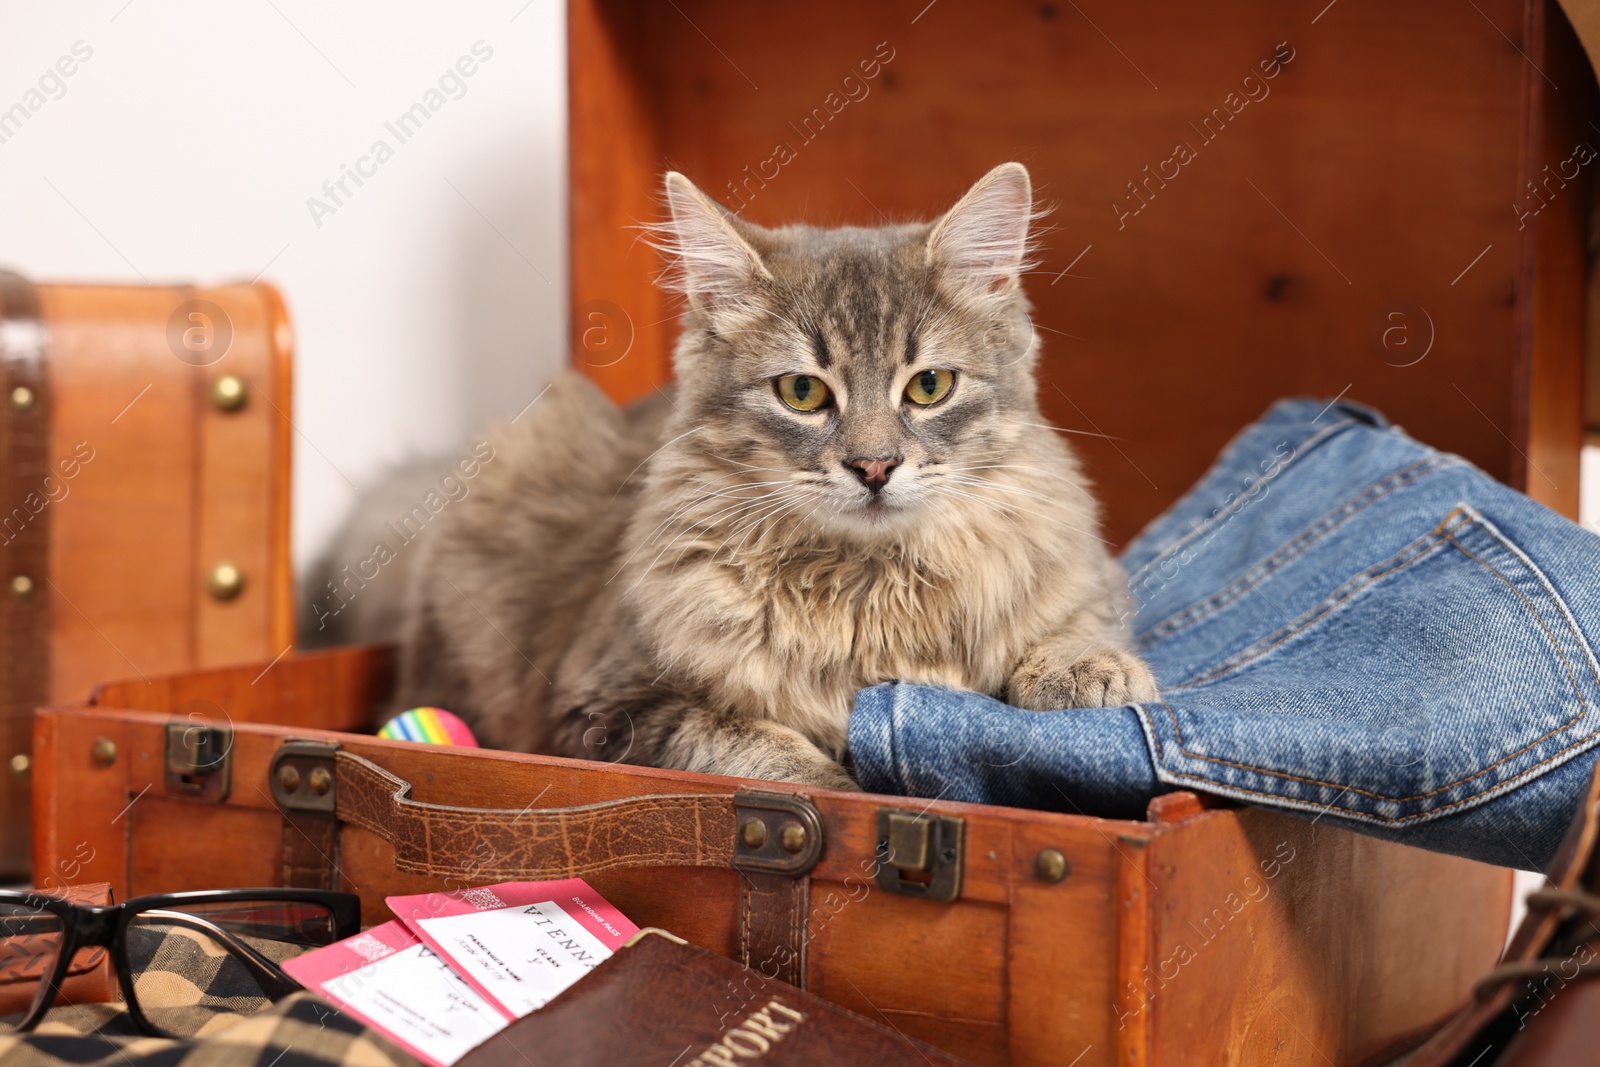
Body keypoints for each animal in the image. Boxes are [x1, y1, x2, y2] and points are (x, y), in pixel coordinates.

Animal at [321, 163, 1152, 790]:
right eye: (803, 392)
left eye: (929, 387)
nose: (875, 465)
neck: (866, 590)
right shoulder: (611, 708)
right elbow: (763, 747)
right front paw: (843, 784)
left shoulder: (1080, 576)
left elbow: (1075, 629)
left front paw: (1096, 673)